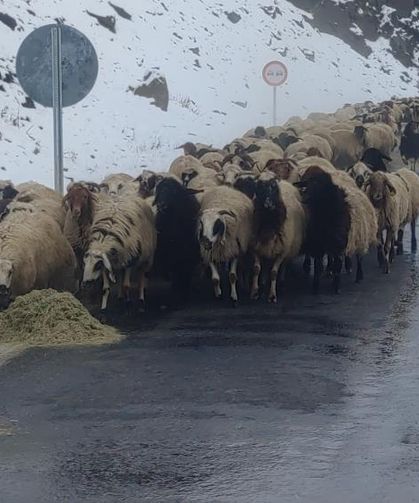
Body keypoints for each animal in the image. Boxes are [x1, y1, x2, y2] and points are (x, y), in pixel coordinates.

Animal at [153, 178, 203, 308]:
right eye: (158, 191)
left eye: (174, 192)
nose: (161, 205)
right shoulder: (171, 255)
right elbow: (176, 277)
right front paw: (177, 295)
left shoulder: (187, 257)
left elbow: (184, 275)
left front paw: (184, 296)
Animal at [249, 173, 306, 304]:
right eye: (259, 185)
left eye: (273, 185)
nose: (267, 204)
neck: (268, 225)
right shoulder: (255, 248)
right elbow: (256, 269)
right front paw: (255, 292)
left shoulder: (282, 251)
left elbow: (274, 272)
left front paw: (272, 295)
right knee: (265, 266)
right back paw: (263, 283)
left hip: (288, 248)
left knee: (284, 265)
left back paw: (282, 282)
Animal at [296, 163, 378, 294]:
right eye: (305, 181)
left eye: (318, 183)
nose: (303, 196)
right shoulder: (318, 242)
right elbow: (318, 265)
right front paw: (315, 287)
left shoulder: (339, 242)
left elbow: (338, 264)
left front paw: (336, 286)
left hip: (359, 235)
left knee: (358, 257)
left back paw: (358, 275)